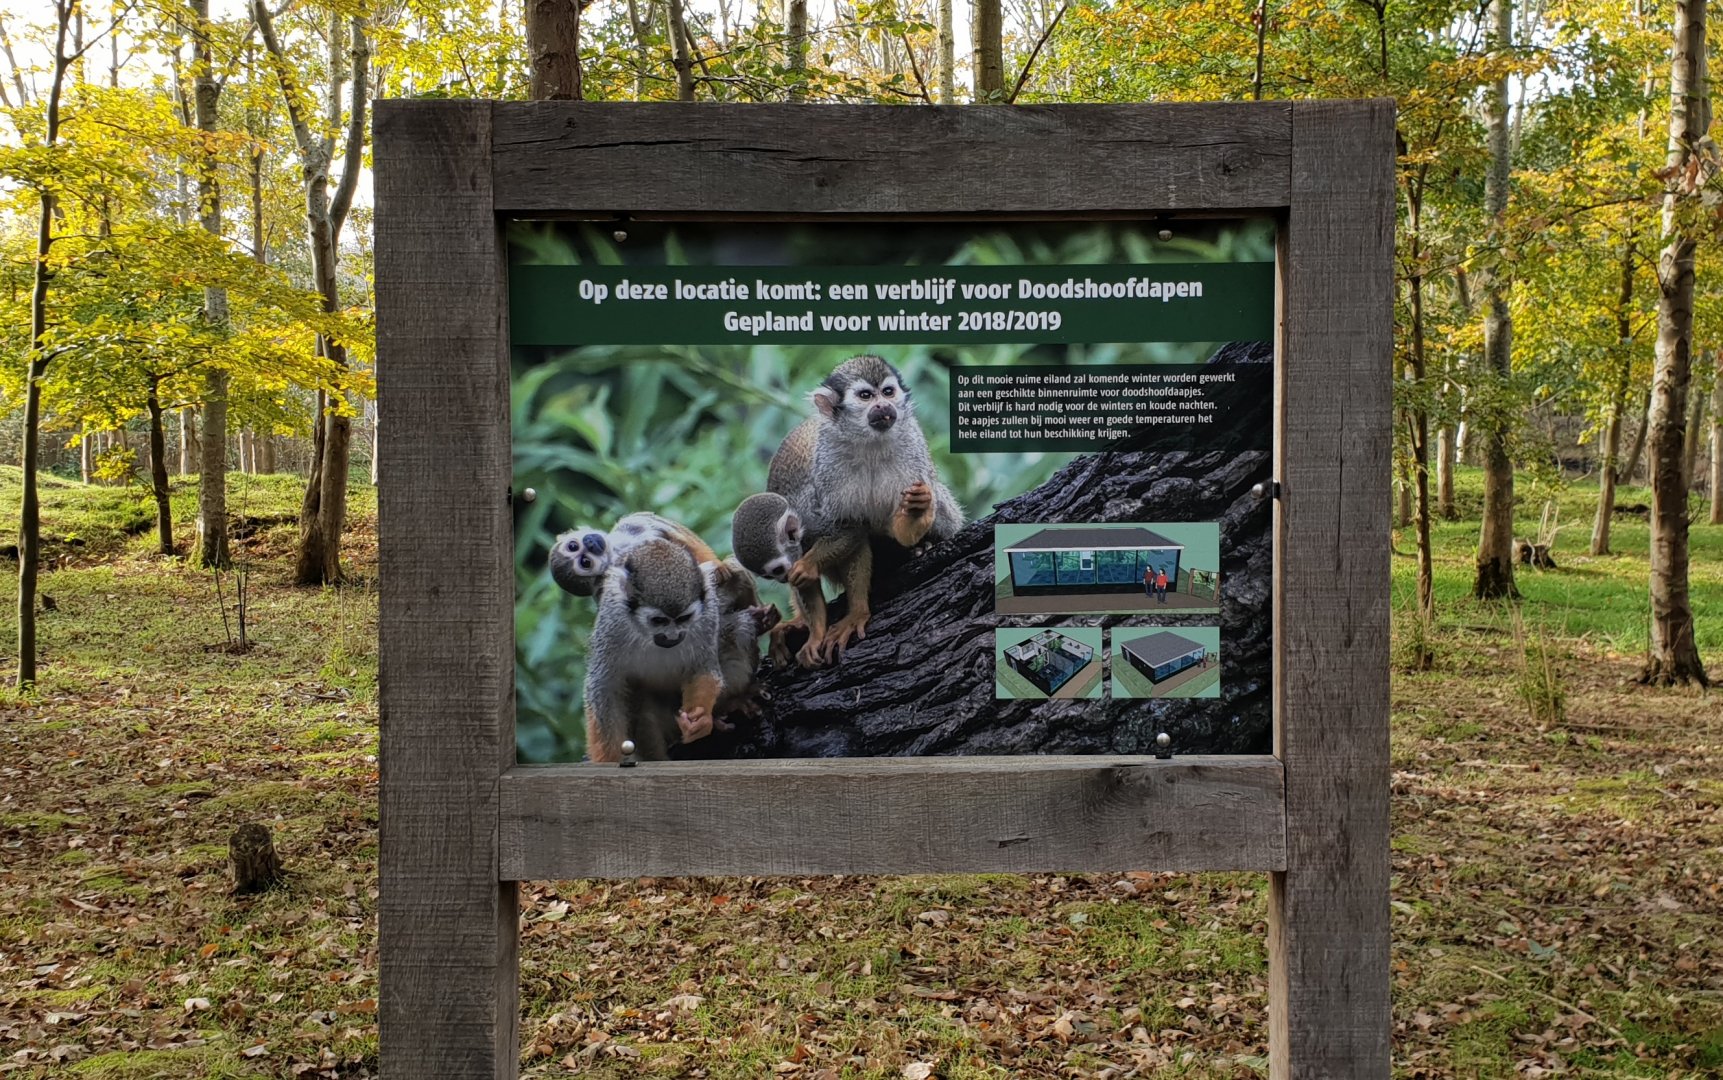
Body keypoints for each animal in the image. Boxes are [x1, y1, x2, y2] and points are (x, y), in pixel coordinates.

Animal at [582, 538, 726, 762]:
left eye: (684, 619)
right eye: (659, 621)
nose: (673, 636)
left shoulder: (709, 612)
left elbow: (703, 669)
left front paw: (699, 720)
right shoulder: (613, 618)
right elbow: (604, 687)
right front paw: (610, 759)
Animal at [765, 355, 963, 663]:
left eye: (888, 392)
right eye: (866, 396)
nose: (883, 405)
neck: (869, 443)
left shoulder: (913, 444)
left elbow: (898, 528)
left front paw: (916, 511)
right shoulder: (827, 464)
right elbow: (849, 527)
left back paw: (923, 547)